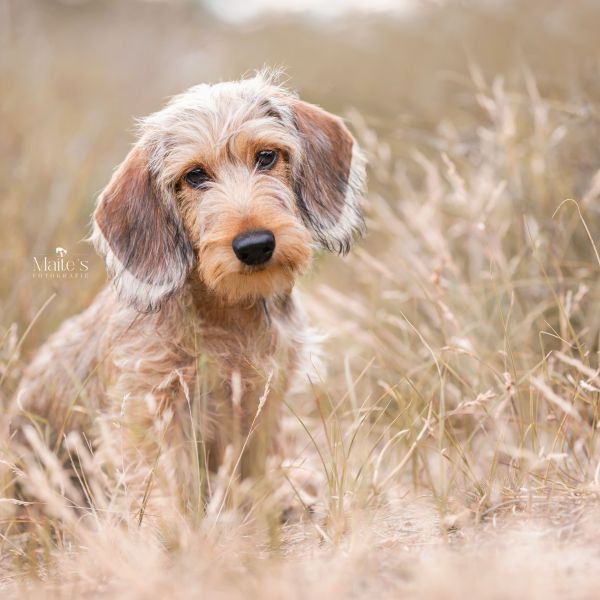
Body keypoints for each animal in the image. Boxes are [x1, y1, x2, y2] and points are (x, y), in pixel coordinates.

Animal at [9, 71, 366, 520]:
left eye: (267, 156)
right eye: (195, 176)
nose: (254, 245)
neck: (229, 311)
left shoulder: (263, 396)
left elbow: (258, 457)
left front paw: (277, 492)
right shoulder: (152, 405)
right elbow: (160, 477)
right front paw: (167, 525)